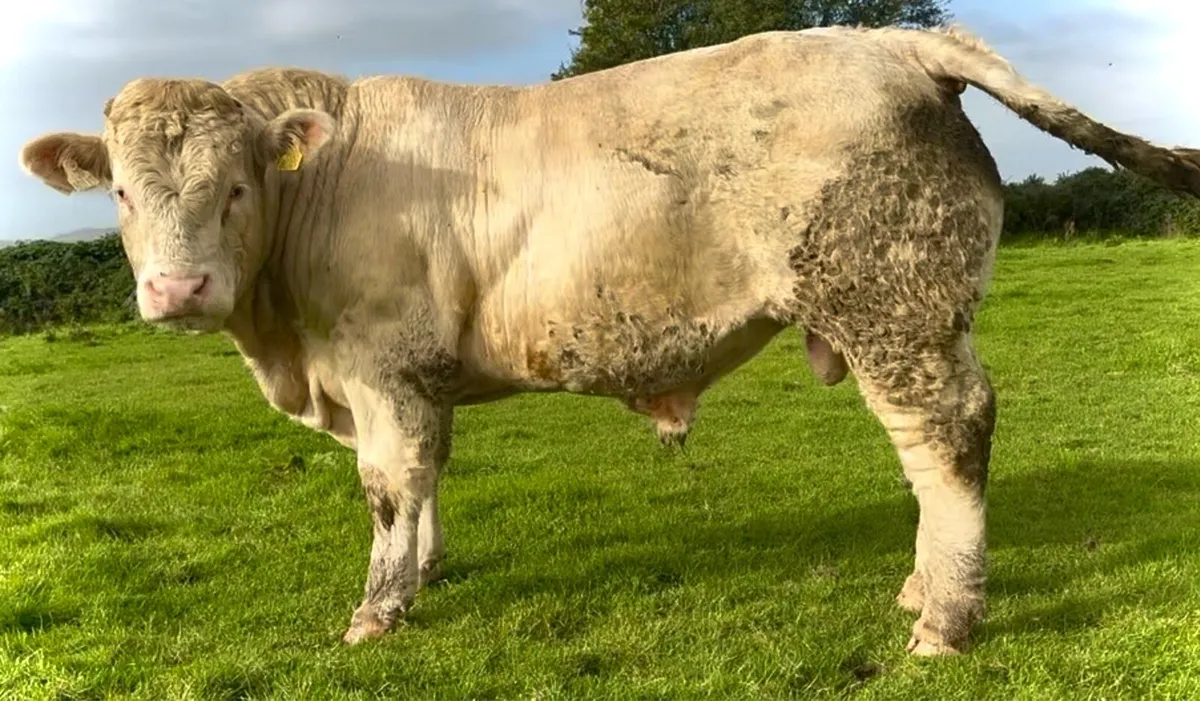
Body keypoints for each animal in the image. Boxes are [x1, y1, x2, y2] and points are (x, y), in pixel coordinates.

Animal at [18, 24, 1200, 656]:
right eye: (121, 192)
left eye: (233, 185)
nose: (176, 289)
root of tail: (890, 36)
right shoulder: (411, 380)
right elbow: (430, 479)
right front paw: (432, 569)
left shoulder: (382, 366)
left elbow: (391, 487)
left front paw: (379, 608)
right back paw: (922, 589)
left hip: (892, 306)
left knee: (945, 438)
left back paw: (944, 618)